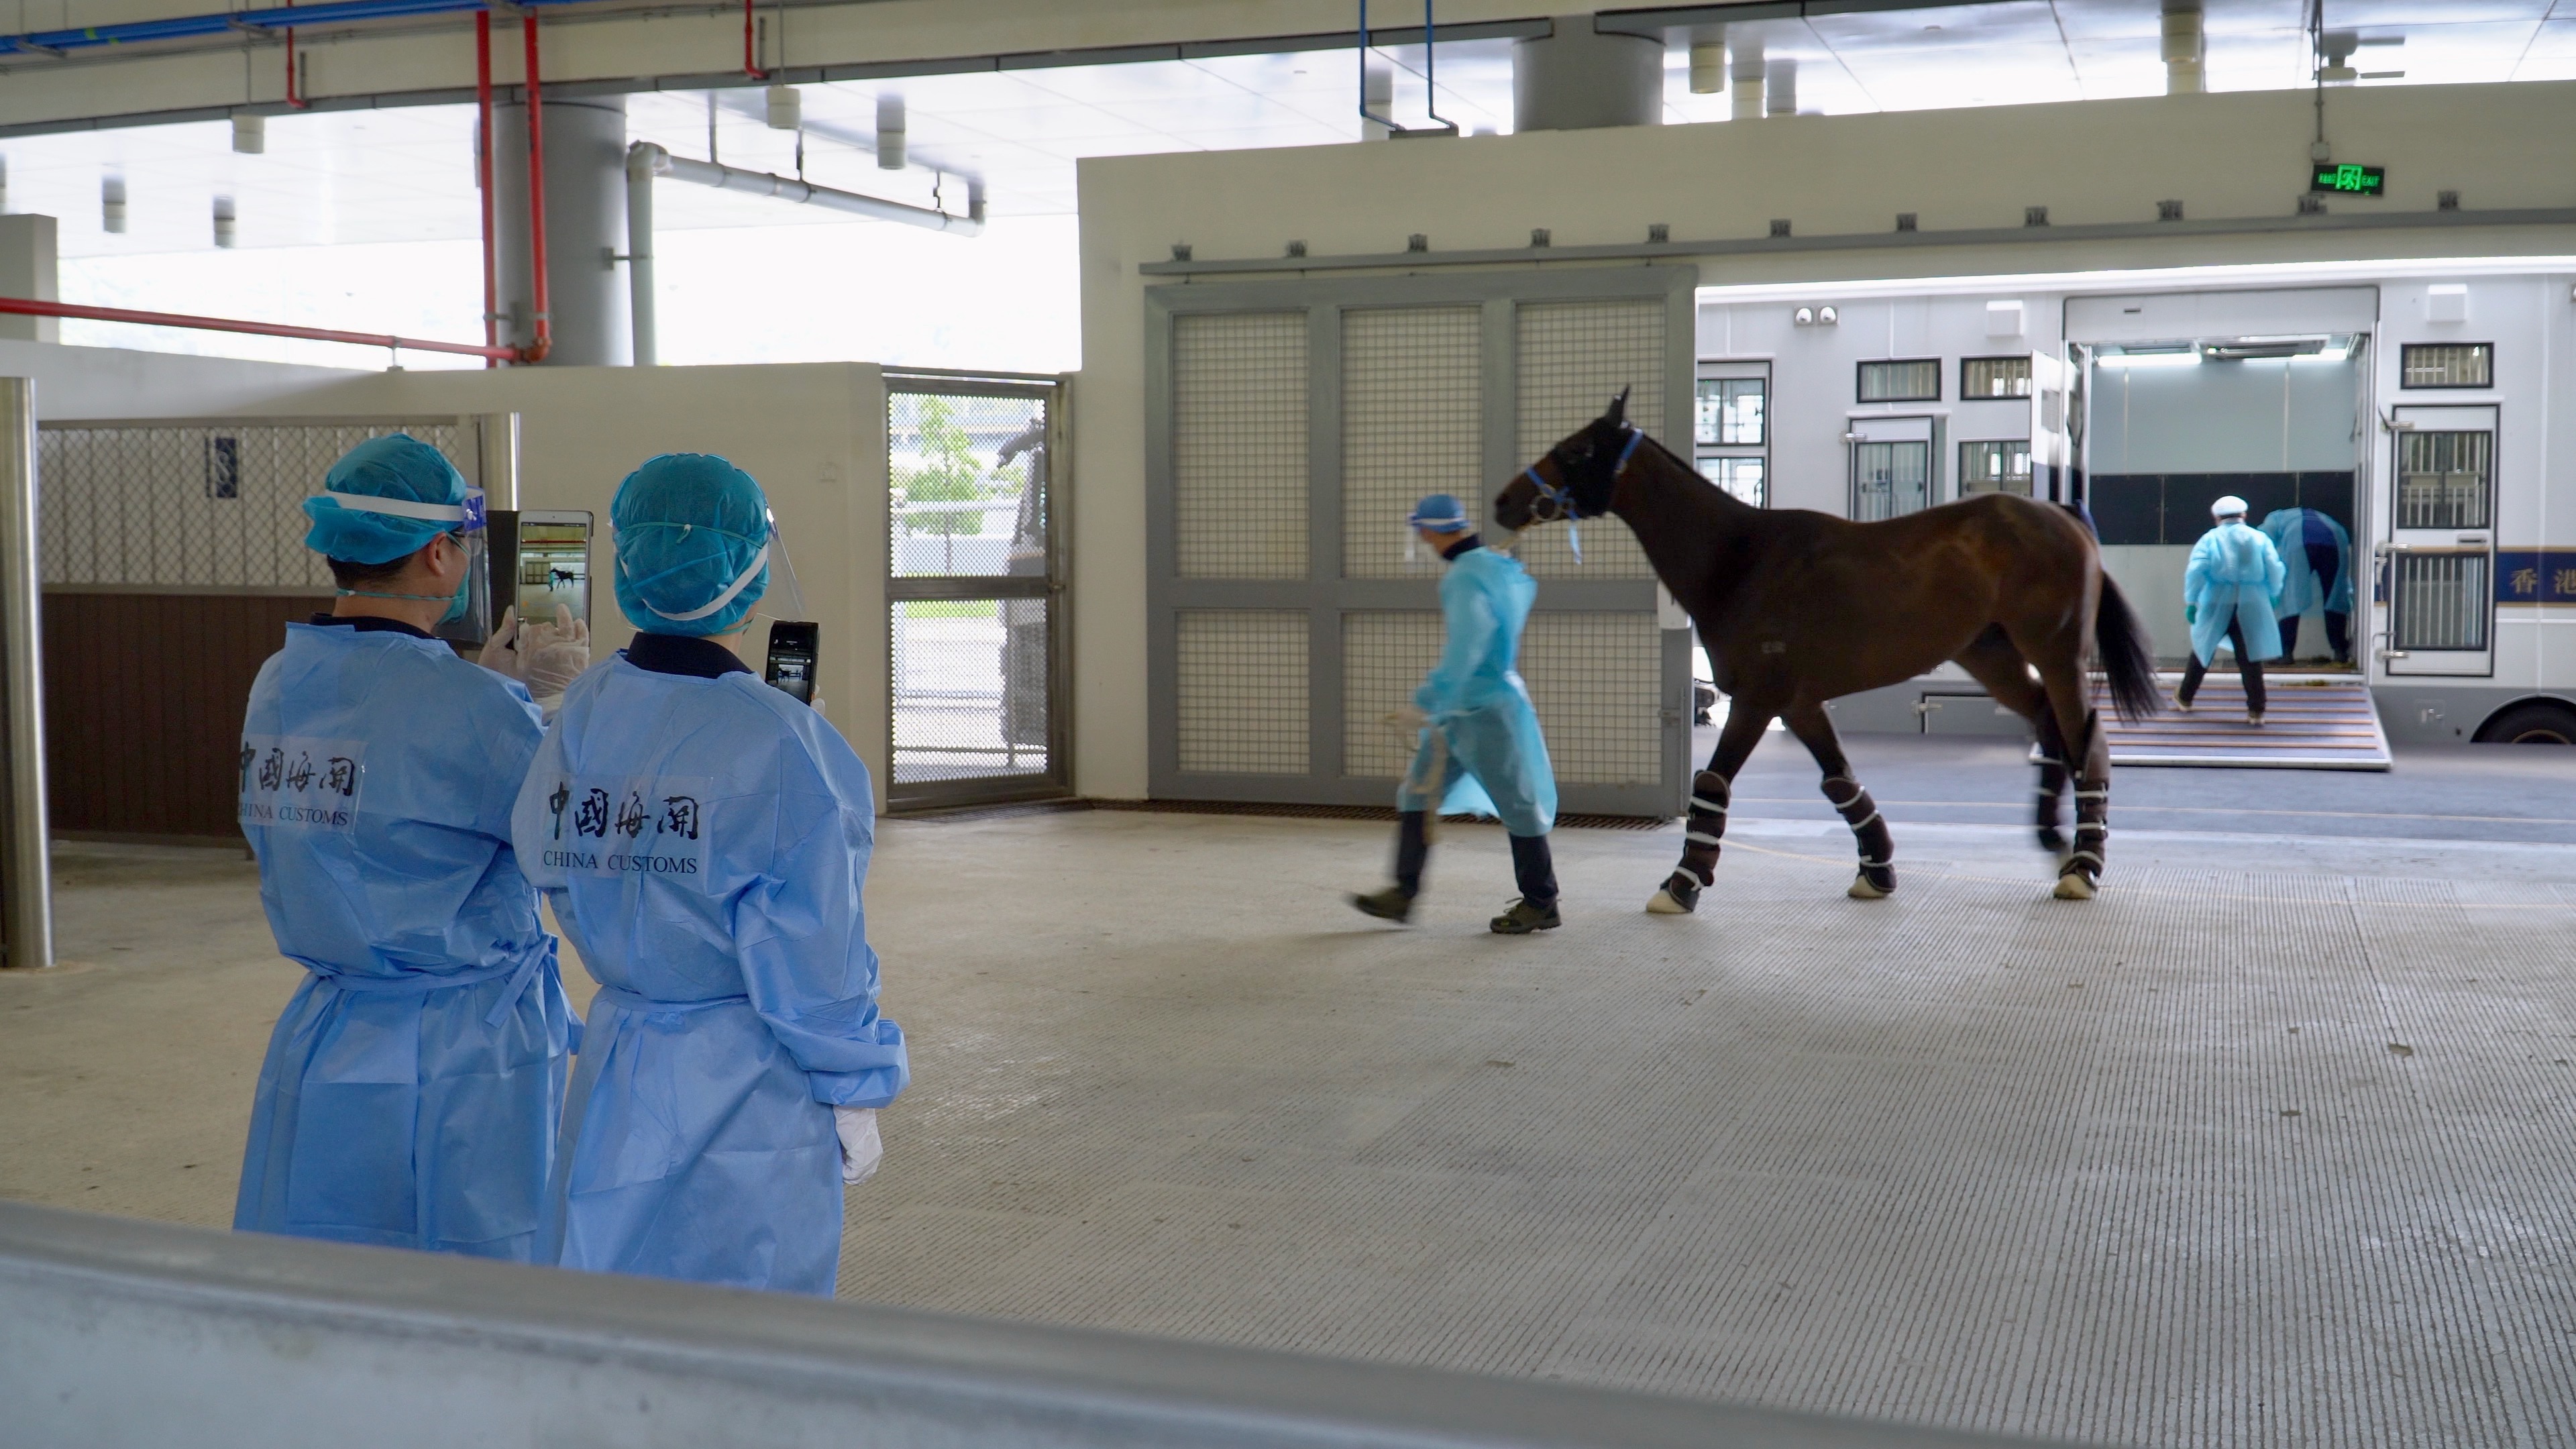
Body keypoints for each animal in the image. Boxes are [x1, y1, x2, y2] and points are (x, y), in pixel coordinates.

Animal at [1492, 391, 2160, 908]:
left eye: (1579, 450)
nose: (1504, 501)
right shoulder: (1800, 705)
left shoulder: (1759, 700)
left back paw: (2083, 868)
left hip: (2055, 654)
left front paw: (1682, 883)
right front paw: (1877, 870)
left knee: (2087, 743)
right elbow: (1841, 784)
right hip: (1992, 656)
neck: (1738, 558)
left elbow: (1713, 781)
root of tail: (2063, 516)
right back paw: (2055, 842)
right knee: (2051, 729)